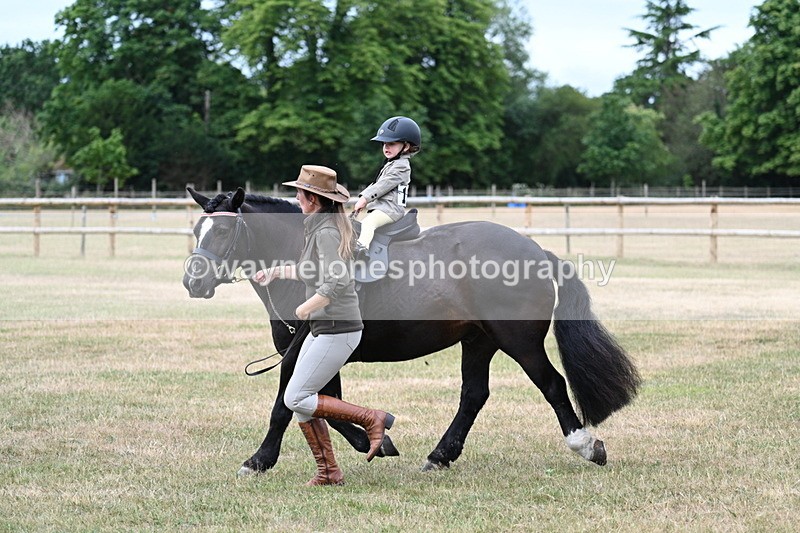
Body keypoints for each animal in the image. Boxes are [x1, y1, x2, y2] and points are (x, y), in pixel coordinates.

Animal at [182, 187, 641, 475]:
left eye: (222, 229)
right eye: (196, 230)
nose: (193, 282)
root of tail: (537, 251)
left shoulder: (300, 352)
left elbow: (285, 406)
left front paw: (258, 460)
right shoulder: (321, 351)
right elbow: (327, 404)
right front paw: (375, 440)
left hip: (519, 342)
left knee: (552, 385)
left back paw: (586, 445)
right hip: (479, 341)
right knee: (474, 395)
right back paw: (440, 456)